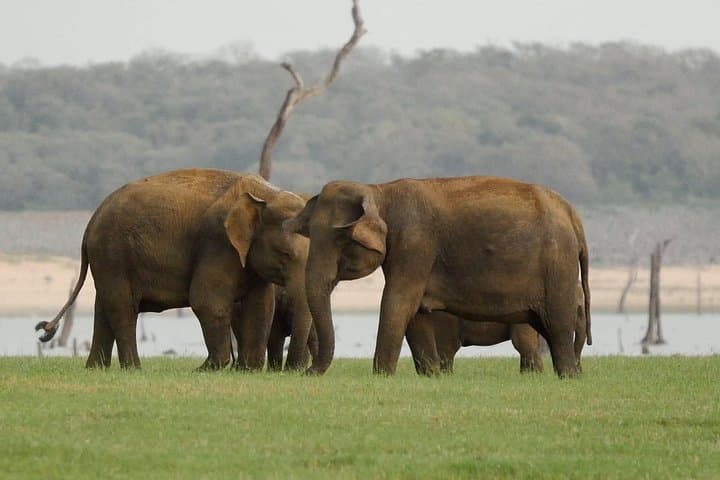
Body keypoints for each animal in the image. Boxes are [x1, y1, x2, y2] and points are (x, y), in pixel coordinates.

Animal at [36, 169, 313, 371]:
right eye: (286, 254)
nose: (295, 370)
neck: (265, 194)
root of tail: (91, 220)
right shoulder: (217, 243)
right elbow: (206, 301)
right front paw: (208, 369)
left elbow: (261, 306)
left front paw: (248, 370)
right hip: (112, 253)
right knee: (122, 307)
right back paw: (133, 369)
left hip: (108, 258)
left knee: (103, 306)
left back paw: (97, 369)